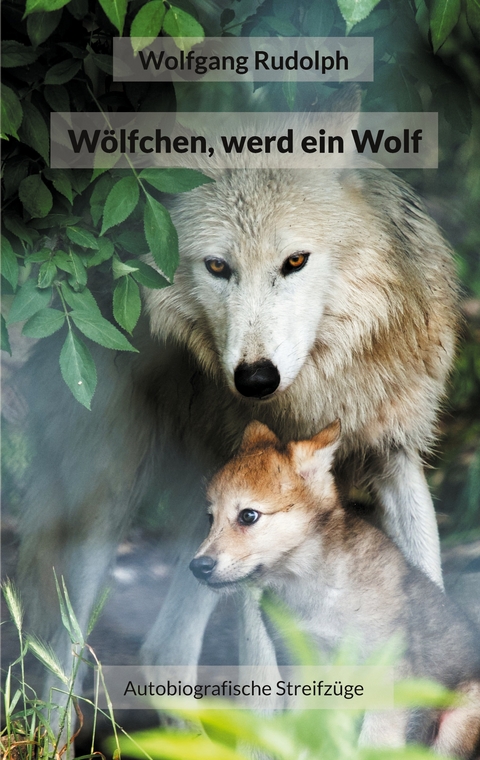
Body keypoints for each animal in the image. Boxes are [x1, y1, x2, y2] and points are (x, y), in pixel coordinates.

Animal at [15, 156, 457, 701]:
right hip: (108, 506)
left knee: (164, 650)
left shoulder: (396, 462)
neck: (316, 399)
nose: (255, 379)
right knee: (61, 656)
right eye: (217, 266)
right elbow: (265, 684)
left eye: (295, 261)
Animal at [190, 419, 480, 757]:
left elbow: (373, 743)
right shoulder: (306, 671)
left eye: (248, 515)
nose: (197, 567)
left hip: (457, 721)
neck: (312, 589)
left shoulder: (387, 673)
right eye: (210, 518)